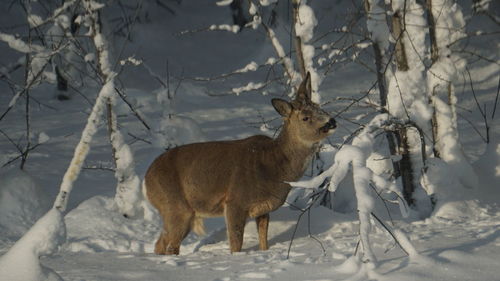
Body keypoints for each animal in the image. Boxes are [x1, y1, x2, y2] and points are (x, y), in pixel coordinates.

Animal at [146, 72, 338, 254]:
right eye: (305, 117)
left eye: (319, 107)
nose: (332, 121)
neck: (274, 166)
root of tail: (146, 180)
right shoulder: (235, 201)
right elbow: (236, 243)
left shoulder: (263, 209)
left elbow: (263, 241)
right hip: (176, 207)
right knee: (170, 247)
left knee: (160, 243)